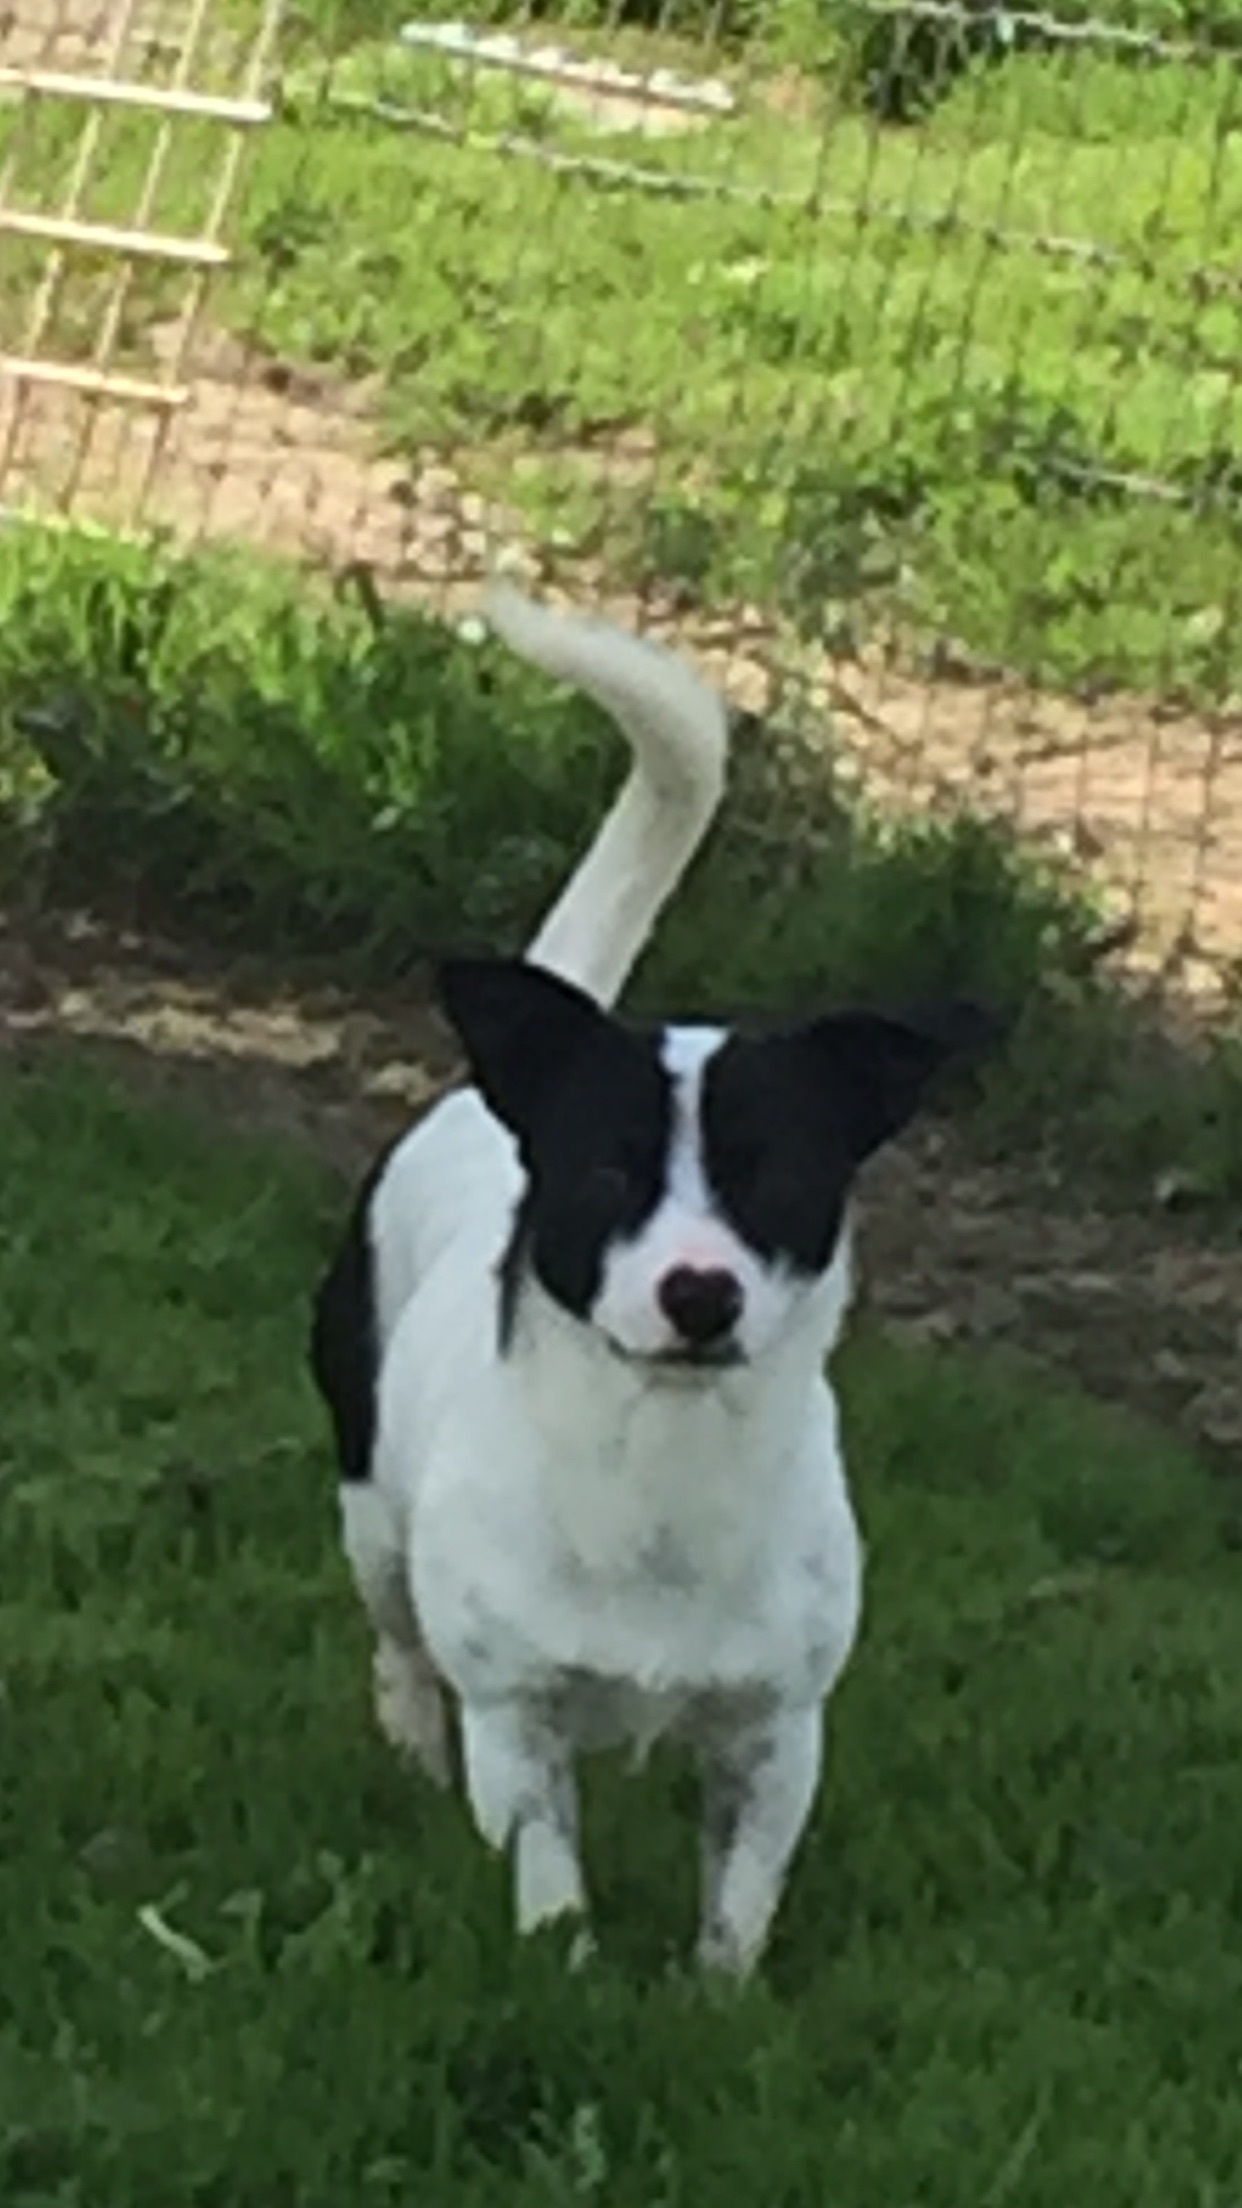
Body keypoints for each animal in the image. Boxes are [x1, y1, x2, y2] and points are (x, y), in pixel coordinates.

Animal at [311, 578, 994, 1978]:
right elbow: (548, 1876)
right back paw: (405, 1749)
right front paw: (566, 1975)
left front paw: (714, 2001)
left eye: (776, 1178)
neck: (662, 1477)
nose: (700, 1293)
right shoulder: (516, 1722)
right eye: (609, 1169)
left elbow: (739, 1903)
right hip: (370, 1512)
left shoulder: (778, 1737)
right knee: (397, 1641)